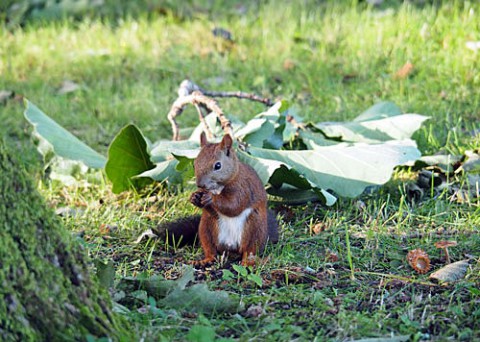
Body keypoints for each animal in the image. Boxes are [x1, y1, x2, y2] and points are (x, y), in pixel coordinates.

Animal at [158, 132, 278, 266]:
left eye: (218, 165)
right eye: (195, 163)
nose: (200, 185)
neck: (218, 188)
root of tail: (231, 247)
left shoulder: (243, 188)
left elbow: (234, 206)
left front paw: (212, 198)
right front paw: (194, 197)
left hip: (254, 228)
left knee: (249, 250)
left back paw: (248, 262)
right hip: (206, 228)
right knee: (212, 251)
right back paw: (205, 260)